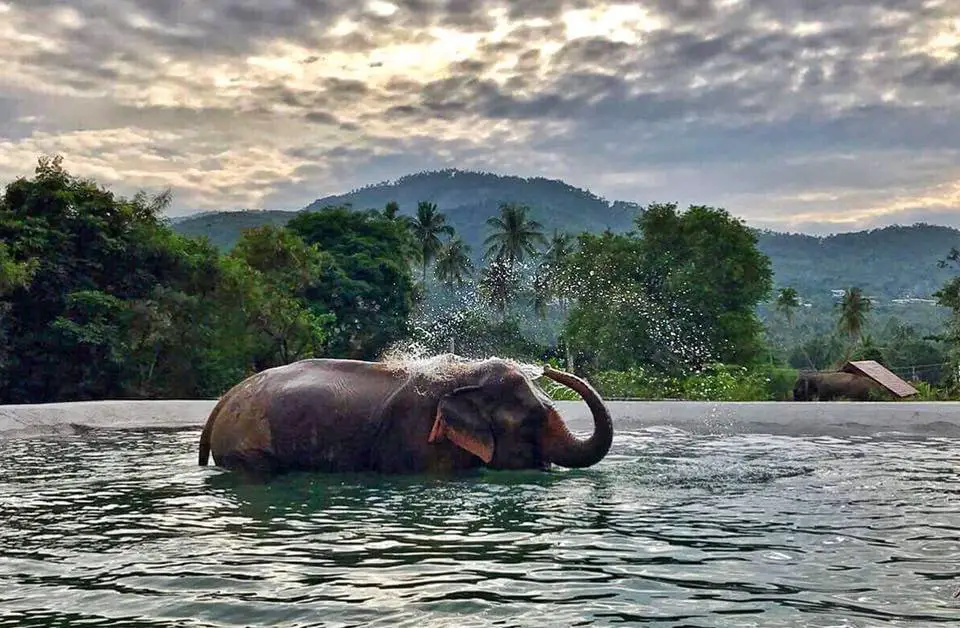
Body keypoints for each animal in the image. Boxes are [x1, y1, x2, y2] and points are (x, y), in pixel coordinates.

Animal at [198, 354, 612, 476]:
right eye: (531, 422)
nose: (548, 368)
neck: (464, 377)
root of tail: (224, 399)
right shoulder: (414, 437)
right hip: (245, 444)